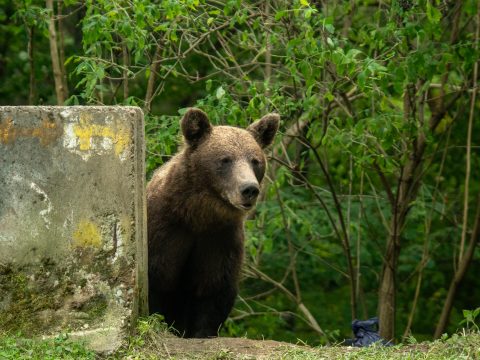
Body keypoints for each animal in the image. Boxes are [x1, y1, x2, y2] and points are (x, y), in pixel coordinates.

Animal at [148, 107, 280, 338]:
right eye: (225, 159)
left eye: (255, 160)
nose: (249, 189)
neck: (197, 215)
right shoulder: (164, 231)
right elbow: (157, 281)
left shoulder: (220, 238)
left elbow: (214, 289)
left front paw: (203, 332)